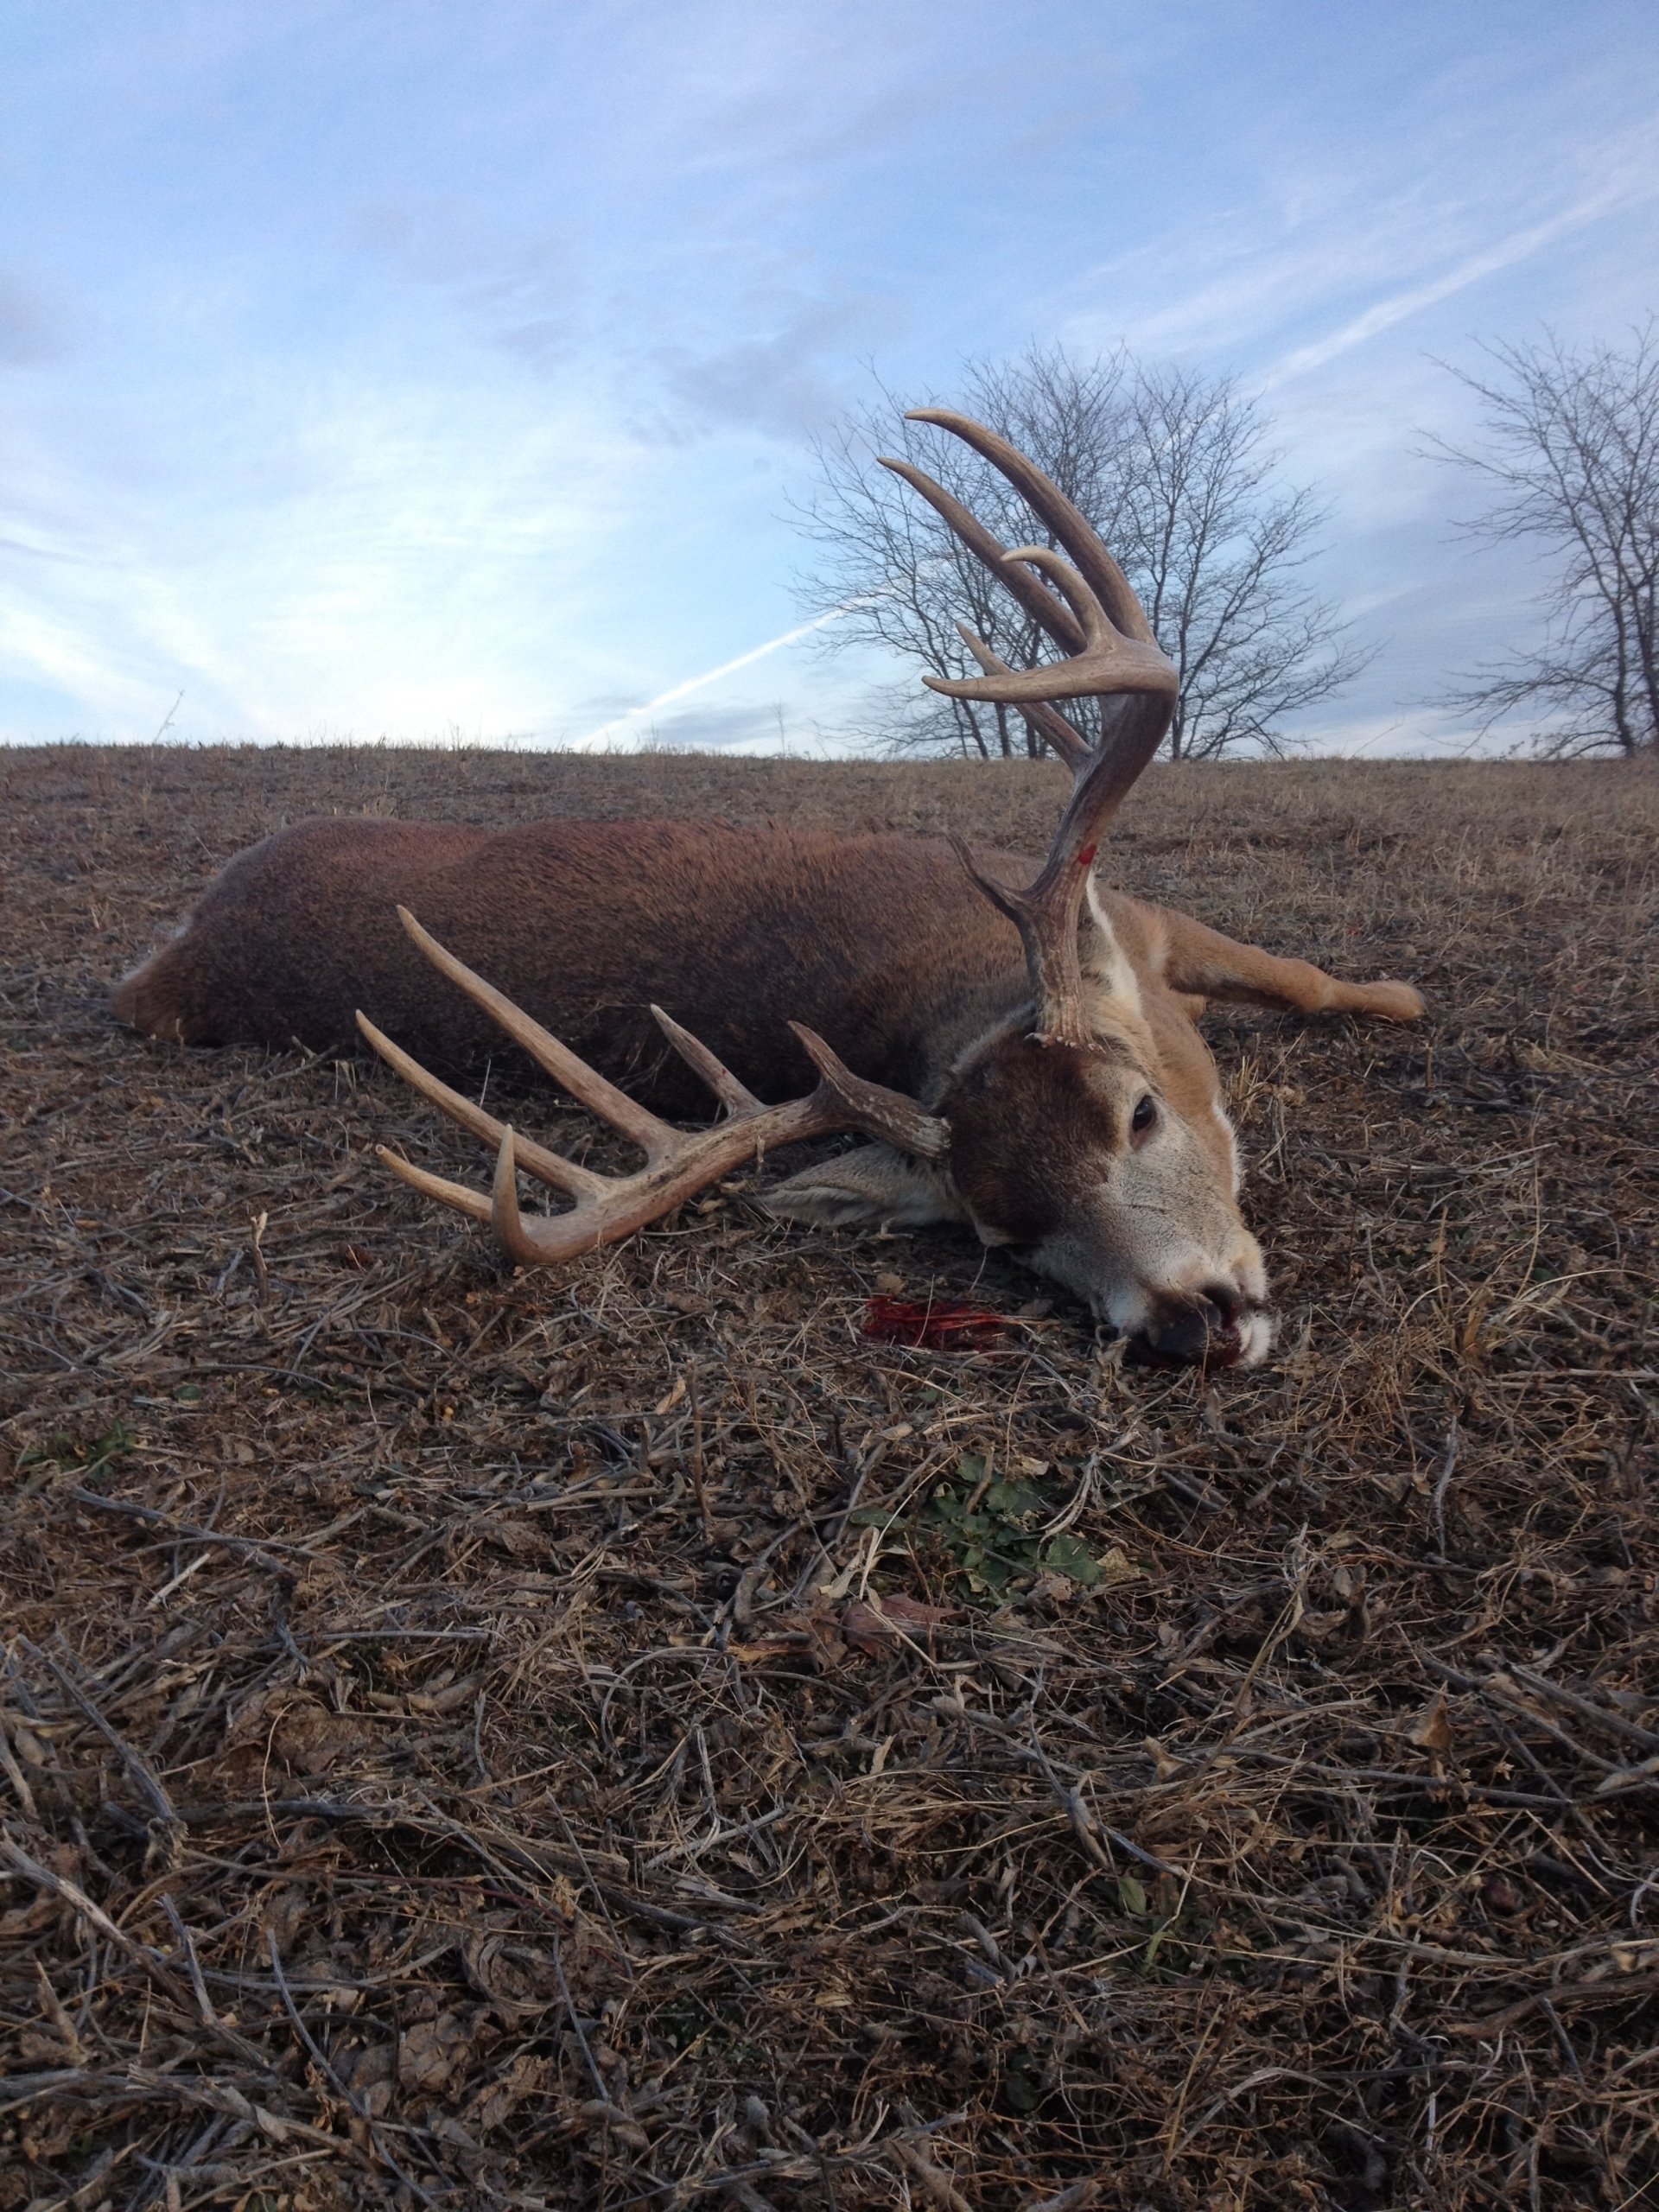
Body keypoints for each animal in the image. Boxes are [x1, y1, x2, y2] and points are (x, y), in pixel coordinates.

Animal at [113, 412, 1423, 1370]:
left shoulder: (1147, 923)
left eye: (1139, 1114)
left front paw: (1399, 998)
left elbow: (1306, 979)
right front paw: (1408, 998)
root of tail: (171, 951)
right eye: (1007, 1234)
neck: (948, 987)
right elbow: (1307, 978)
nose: (1193, 1321)